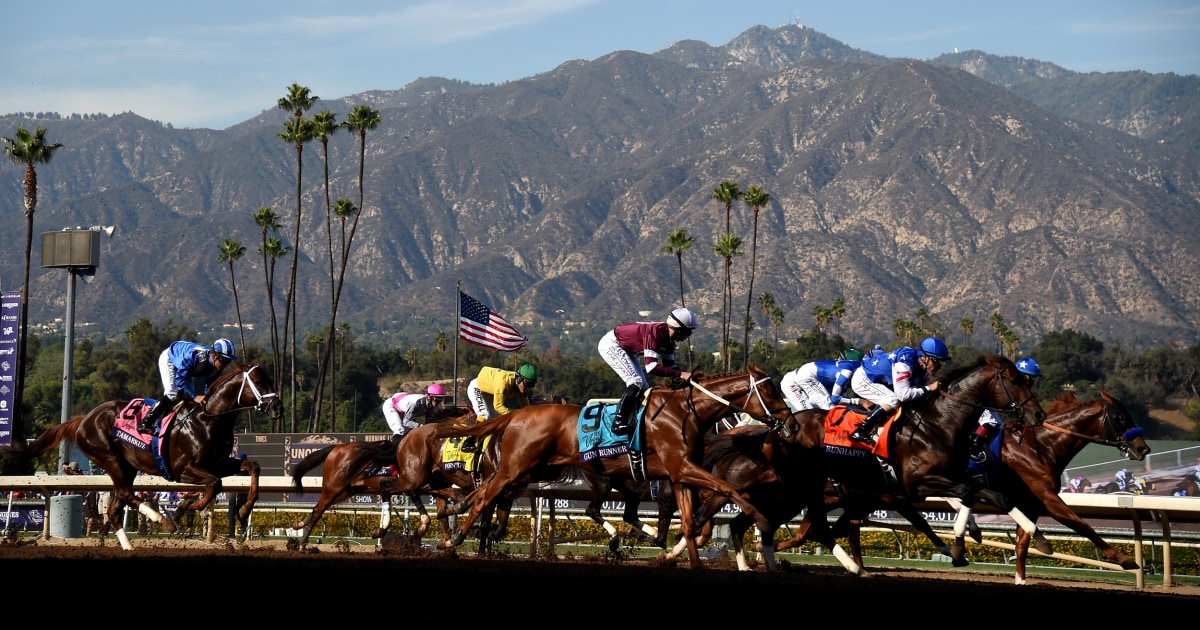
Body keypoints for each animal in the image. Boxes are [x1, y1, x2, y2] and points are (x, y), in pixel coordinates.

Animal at [1, 360, 280, 547]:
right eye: (259, 382)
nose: (277, 407)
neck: (208, 419)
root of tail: (83, 419)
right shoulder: (182, 469)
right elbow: (215, 484)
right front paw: (184, 508)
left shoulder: (218, 462)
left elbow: (252, 467)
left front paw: (243, 510)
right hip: (109, 457)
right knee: (125, 495)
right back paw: (162, 519)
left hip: (127, 466)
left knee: (116, 507)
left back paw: (130, 545)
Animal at [432, 369, 854, 568]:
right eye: (768, 391)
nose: (792, 426)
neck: (686, 412)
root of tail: (517, 414)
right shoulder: (682, 468)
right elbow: (728, 491)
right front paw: (760, 520)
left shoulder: (678, 475)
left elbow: (690, 521)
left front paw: (685, 559)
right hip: (517, 467)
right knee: (485, 495)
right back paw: (455, 538)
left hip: (533, 472)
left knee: (487, 495)